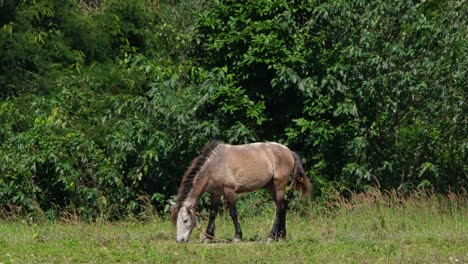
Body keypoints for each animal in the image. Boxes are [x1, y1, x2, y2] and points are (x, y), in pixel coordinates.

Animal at [170, 140, 312, 243]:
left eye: (185, 220)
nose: (180, 240)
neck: (215, 165)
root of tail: (289, 151)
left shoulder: (229, 191)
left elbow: (233, 213)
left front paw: (237, 236)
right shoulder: (215, 193)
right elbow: (213, 214)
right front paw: (208, 237)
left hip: (279, 185)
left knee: (279, 209)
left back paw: (271, 236)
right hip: (272, 186)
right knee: (282, 206)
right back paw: (281, 236)